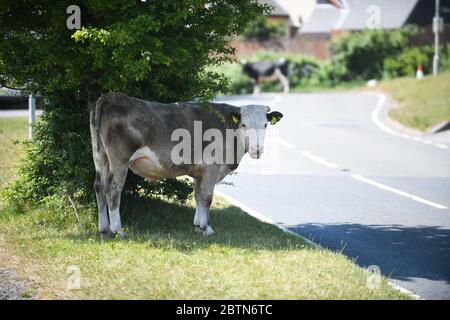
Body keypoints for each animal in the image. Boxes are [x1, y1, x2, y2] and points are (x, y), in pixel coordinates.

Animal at [89, 92, 284, 238]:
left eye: (265, 125)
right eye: (243, 124)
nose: (257, 149)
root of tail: (110, 97)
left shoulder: (200, 171)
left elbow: (198, 195)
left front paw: (197, 225)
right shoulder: (211, 167)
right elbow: (207, 197)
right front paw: (207, 228)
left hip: (100, 156)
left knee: (99, 186)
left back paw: (103, 229)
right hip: (120, 160)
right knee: (113, 189)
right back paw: (117, 230)